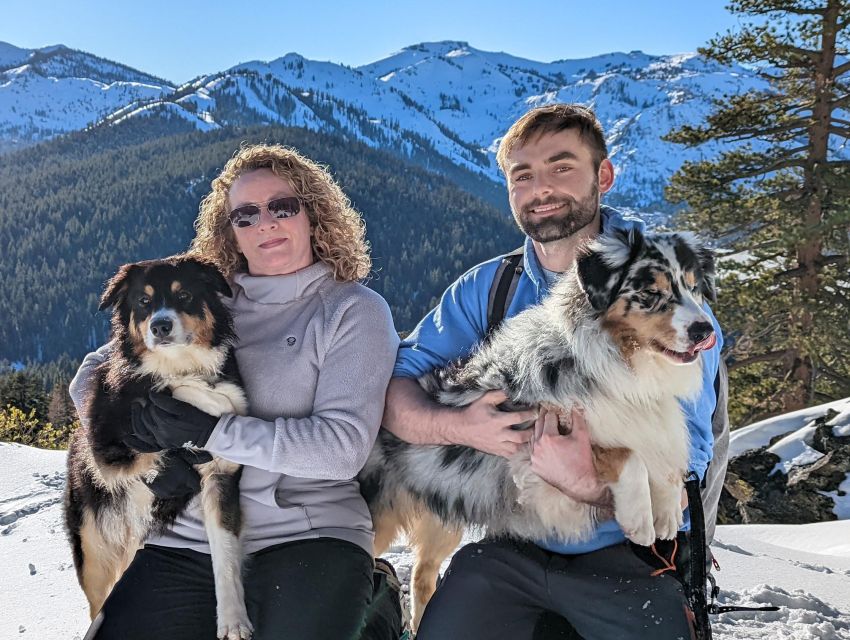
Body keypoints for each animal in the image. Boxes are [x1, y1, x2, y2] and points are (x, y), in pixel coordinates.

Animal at [63, 255, 252, 640]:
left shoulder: (220, 479)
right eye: (144, 301)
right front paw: (212, 398)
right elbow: (165, 387)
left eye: (184, 296)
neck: (179, 362)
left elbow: (225, 556)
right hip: (94, 550)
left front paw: (233, 621)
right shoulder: (107, 448)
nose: (160, 326)